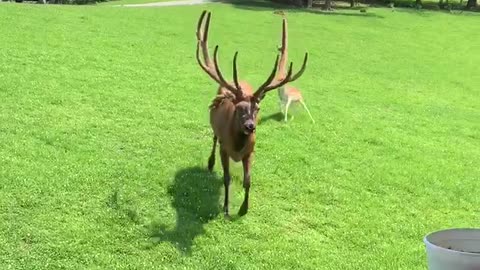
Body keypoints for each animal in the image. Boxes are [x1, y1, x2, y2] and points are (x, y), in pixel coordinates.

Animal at [195, 10, 308, 217]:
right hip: (215, 130)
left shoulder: (251, 152)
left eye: (258, 108)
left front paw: (244, 209)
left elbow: (248, 181)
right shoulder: (225, 148)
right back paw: (210, 163)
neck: (237, 146)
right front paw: (225, 208)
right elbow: (226, 178)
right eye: (239, 107)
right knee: (213, 139)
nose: (250, 126)